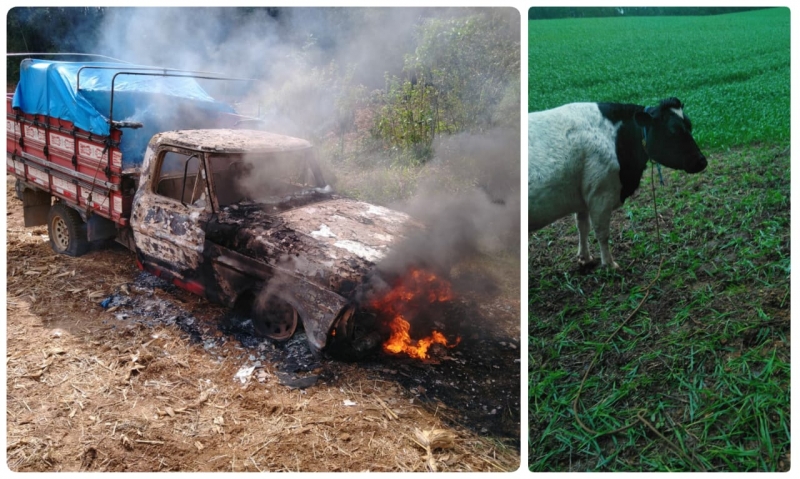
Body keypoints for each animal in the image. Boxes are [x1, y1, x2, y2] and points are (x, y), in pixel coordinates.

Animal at [532, 98, 708, 270]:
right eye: (672, 131)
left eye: (689, 125)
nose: (702, 161)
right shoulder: (601, 194)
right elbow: (602, 233)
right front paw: (609, 264)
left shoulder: (583, 195)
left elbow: (583, 226)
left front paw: (585, 258)